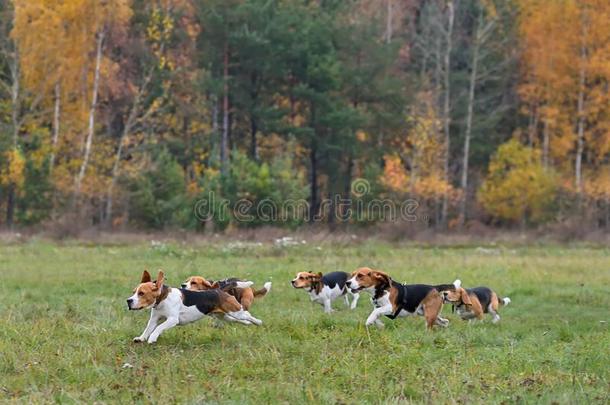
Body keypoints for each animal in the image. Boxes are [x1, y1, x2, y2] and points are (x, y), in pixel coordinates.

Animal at [126, 270, 262, 342]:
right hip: (224, 316)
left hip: (235, 311)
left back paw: (259, 322)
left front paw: (152, 338)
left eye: (141, 293)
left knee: (247, 314)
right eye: (133, 292)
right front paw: (141, 338)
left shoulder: (172, 320)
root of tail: (218, 290)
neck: (162, 299)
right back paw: (248, 324)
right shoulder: (154, 319)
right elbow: (148, 328)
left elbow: (159, 328)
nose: (128, 301)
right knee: (240, 320)